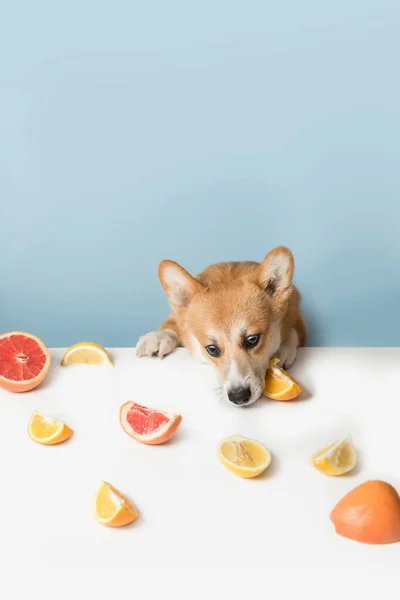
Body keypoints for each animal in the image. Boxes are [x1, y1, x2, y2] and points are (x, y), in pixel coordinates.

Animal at [137, 245, 306, 408]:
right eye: (212, 349)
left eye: (252, 340)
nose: (239, 397)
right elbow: (170, 327)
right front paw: (157, 337)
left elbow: (293, 332)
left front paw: (283, 348)